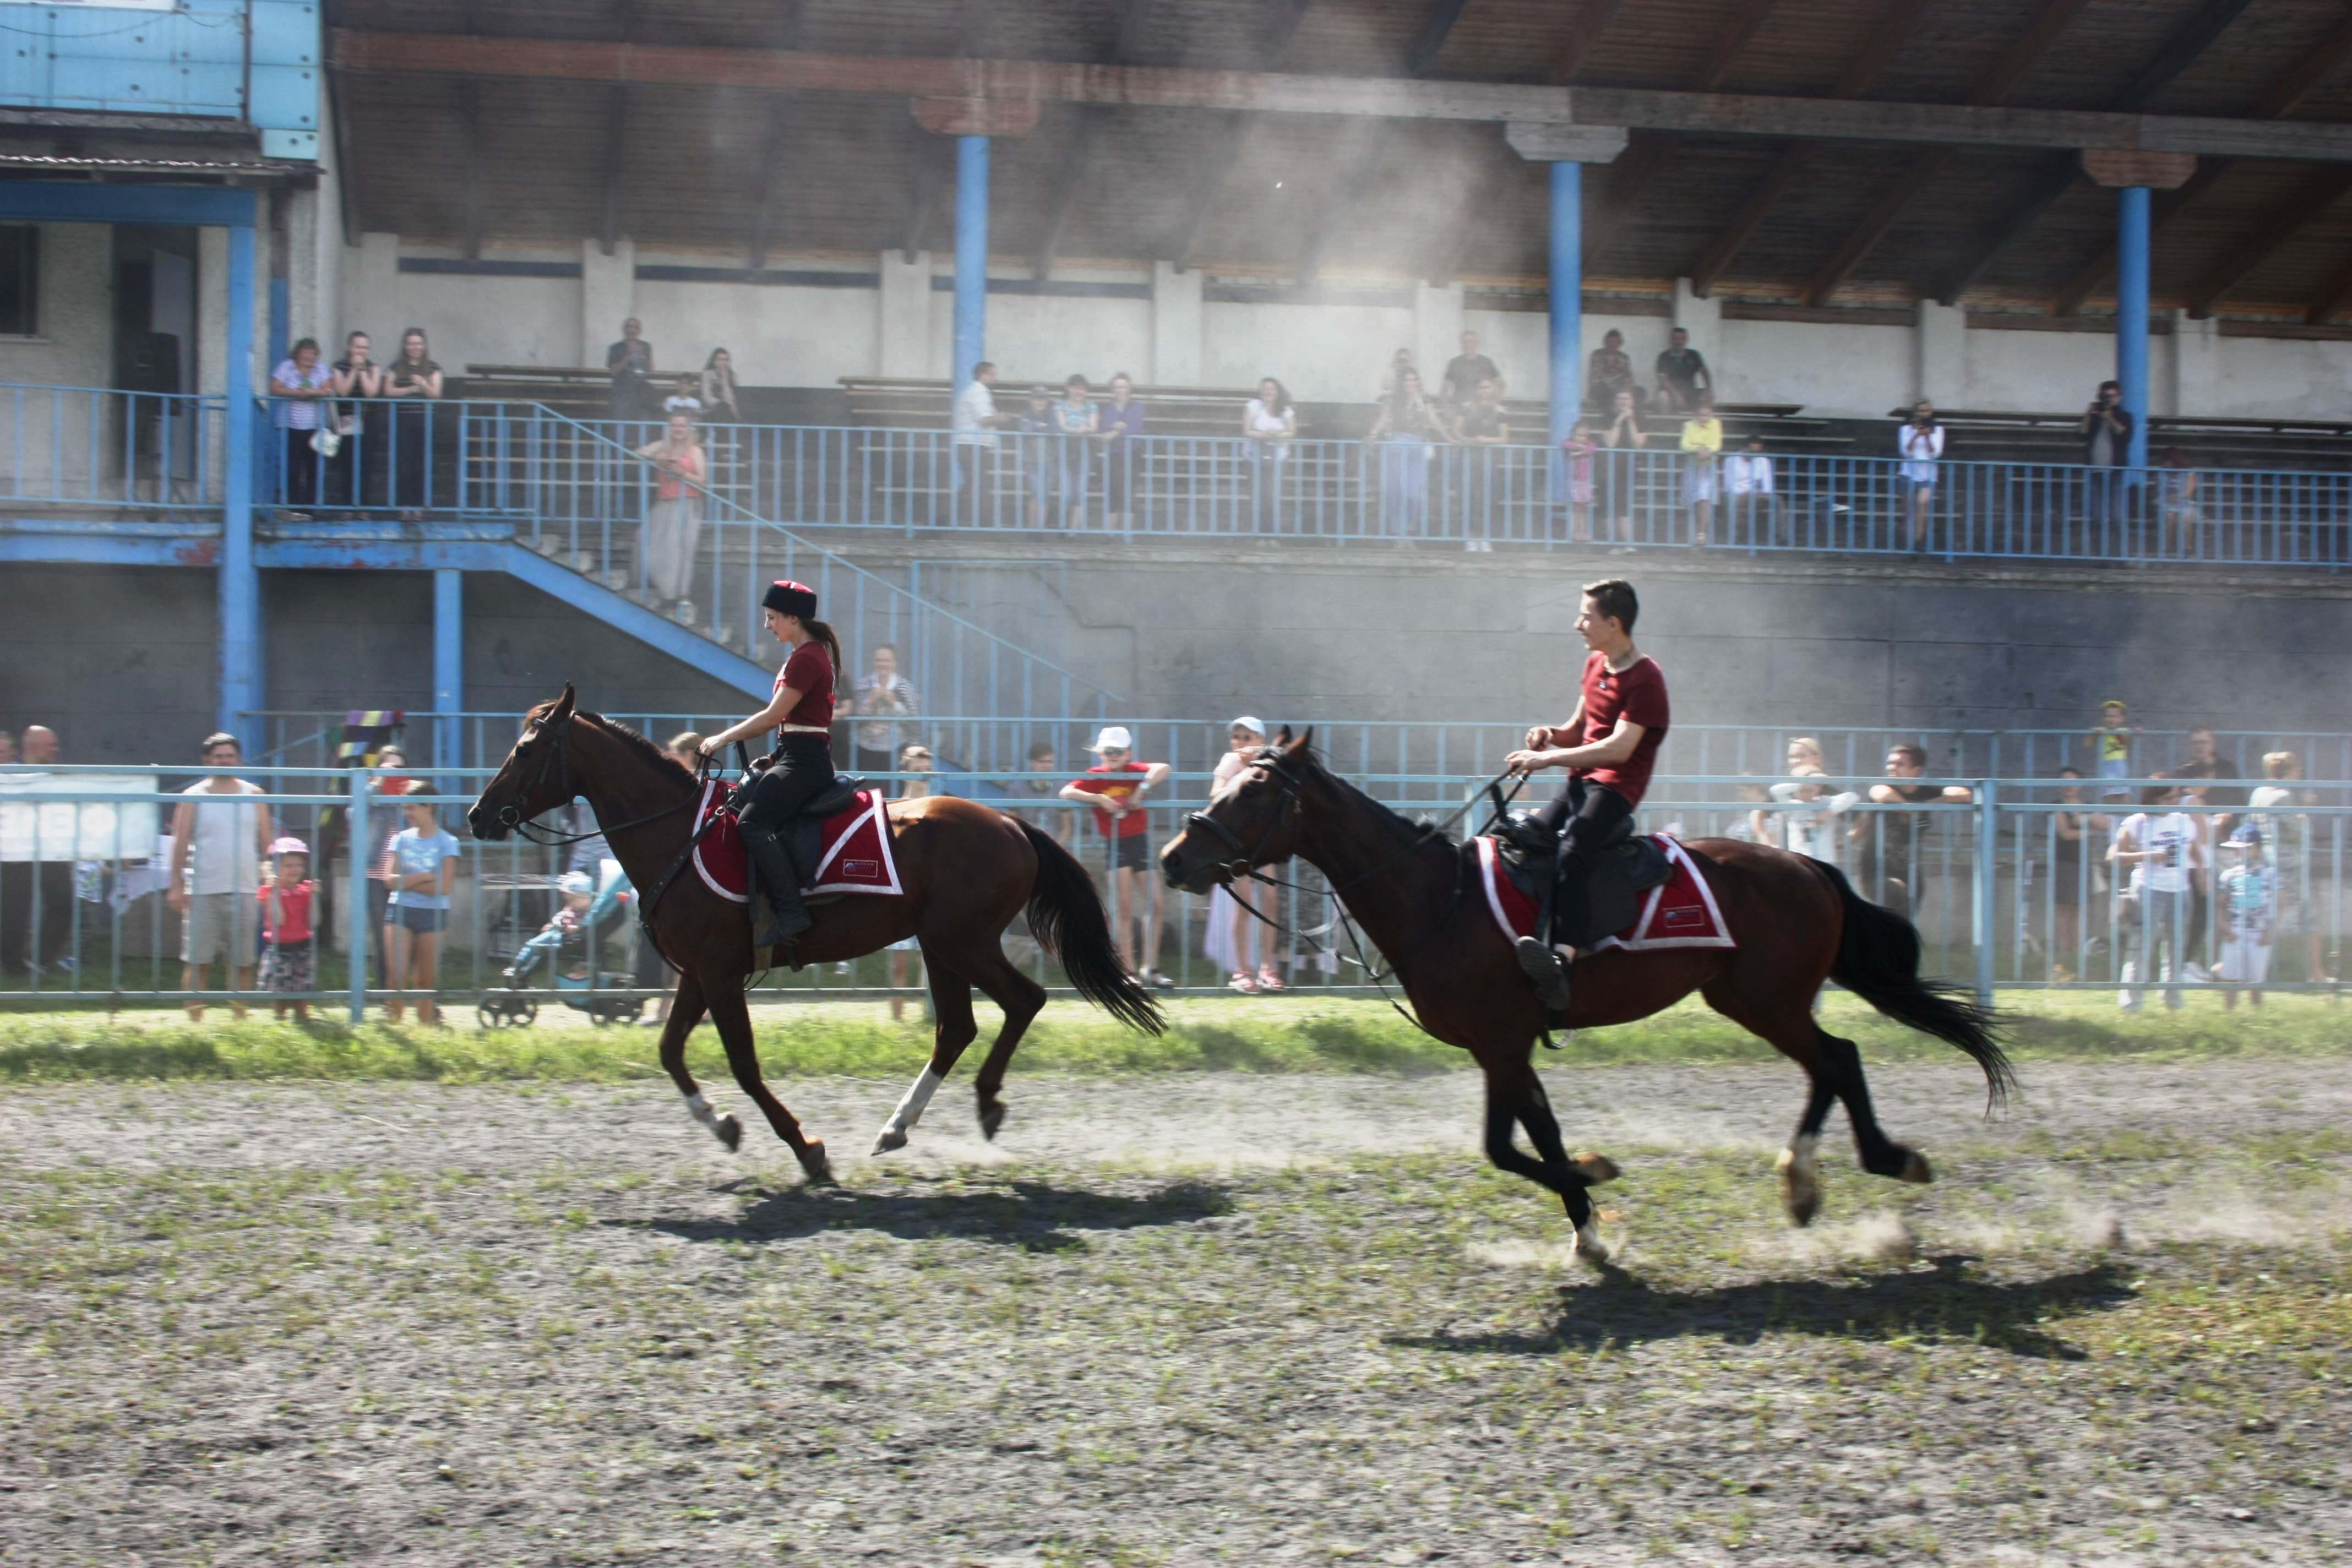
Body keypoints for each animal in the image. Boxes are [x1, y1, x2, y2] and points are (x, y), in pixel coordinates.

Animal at [467, 685, 1164, 1183]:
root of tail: (1013, 824)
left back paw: (984, 1104)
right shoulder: (699, 972)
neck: (680, 837)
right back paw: (898, 1126)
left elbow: (744, 1065)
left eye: (525, 751)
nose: (477, 815)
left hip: (962, 942)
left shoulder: (721, 975)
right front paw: (722, 1127)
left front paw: (806, 1148)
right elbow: (669, 1051)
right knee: (957, 1028)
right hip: (942, 946)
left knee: (1023, 1001)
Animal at [1159, 732, 2014, 1261]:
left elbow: (1505, 1148)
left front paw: (1594, 1179)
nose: (1173, 857)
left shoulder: (1499, 1044)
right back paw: (1814, 1183)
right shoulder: (1508, 1049)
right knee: (1832, 1063)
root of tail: (1808, 865)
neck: (1440, 898)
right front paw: (1589, 1228)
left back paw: (1872, 1163)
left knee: (1838, 1057)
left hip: (1767, 1000)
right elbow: (1541, 1136)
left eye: (1255, 790)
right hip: (1752, 999)